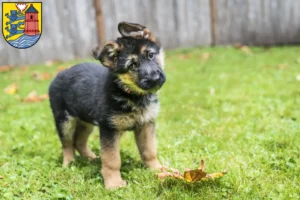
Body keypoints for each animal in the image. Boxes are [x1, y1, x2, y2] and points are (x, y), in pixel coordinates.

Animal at [49, 22, 166, 189]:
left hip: (85, 121)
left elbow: (149, 151)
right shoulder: (109, 129)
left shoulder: (146, 125)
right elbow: (112, 159)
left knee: (79, 141)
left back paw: (91, 158)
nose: (155, 79)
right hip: (64, 121)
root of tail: (59, 74)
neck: (130, 93)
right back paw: (68, 164)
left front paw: (158, 170)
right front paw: (114, 183)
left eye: (151, 55)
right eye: (132, 65)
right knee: (67, 144)